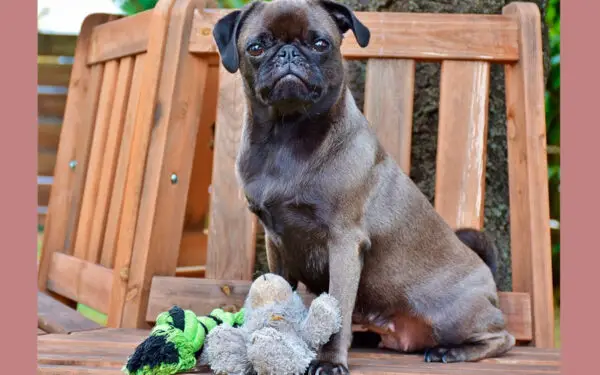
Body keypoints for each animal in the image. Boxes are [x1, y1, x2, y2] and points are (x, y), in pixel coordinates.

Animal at [212, 1, 516, 374]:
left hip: (451, 316)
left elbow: (337, 307)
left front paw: (329, 360)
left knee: (502, 338)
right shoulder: (276, 242)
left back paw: (452, 351)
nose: (288, 52)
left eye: (320, 44)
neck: (286, 135)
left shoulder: (343, 242)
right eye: (256, 47)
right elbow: (280, 288)